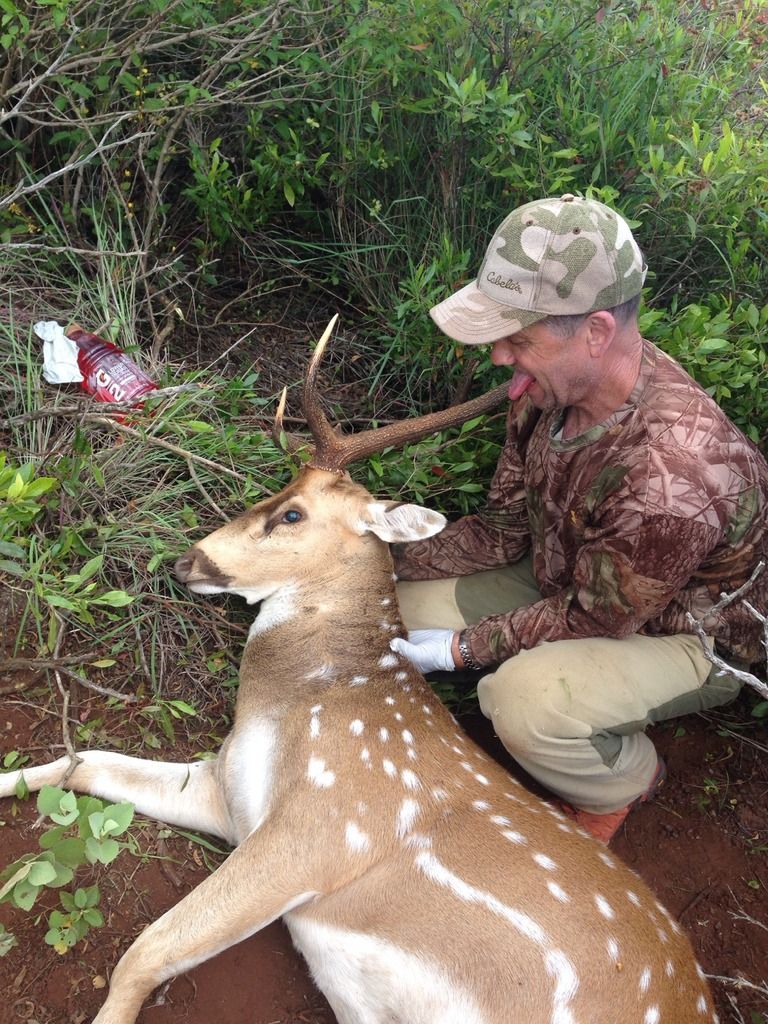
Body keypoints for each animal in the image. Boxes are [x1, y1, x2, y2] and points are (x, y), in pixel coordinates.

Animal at [0, 316, 717, 1024]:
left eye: (291, 514)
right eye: (277, 491)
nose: (187, 561)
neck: (307, 695)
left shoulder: (322, 828)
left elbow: (145, 951)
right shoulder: (229, 794)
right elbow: (86, 761)